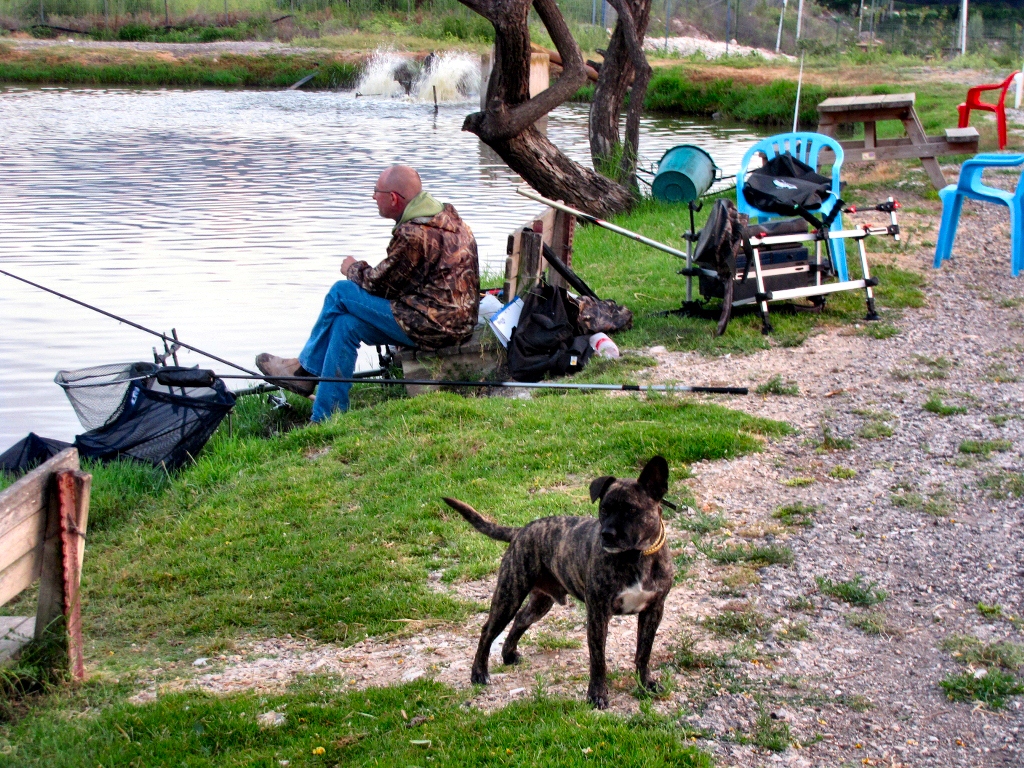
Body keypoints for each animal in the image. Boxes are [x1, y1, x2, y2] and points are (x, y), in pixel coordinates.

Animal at [440, 456, 671, 708]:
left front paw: (645, 684)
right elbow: (598, 660)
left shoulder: (653, 611)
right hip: (509, 596)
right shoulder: (598, 615)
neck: (637, 556)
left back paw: (508, 654)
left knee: (520, 620)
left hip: (540, 603)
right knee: (487, 631)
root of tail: (521, 531)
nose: (607, 534)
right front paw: (597, 694)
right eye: (603, 509)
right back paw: (479, 673)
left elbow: (643, 652)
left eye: (631, 510)